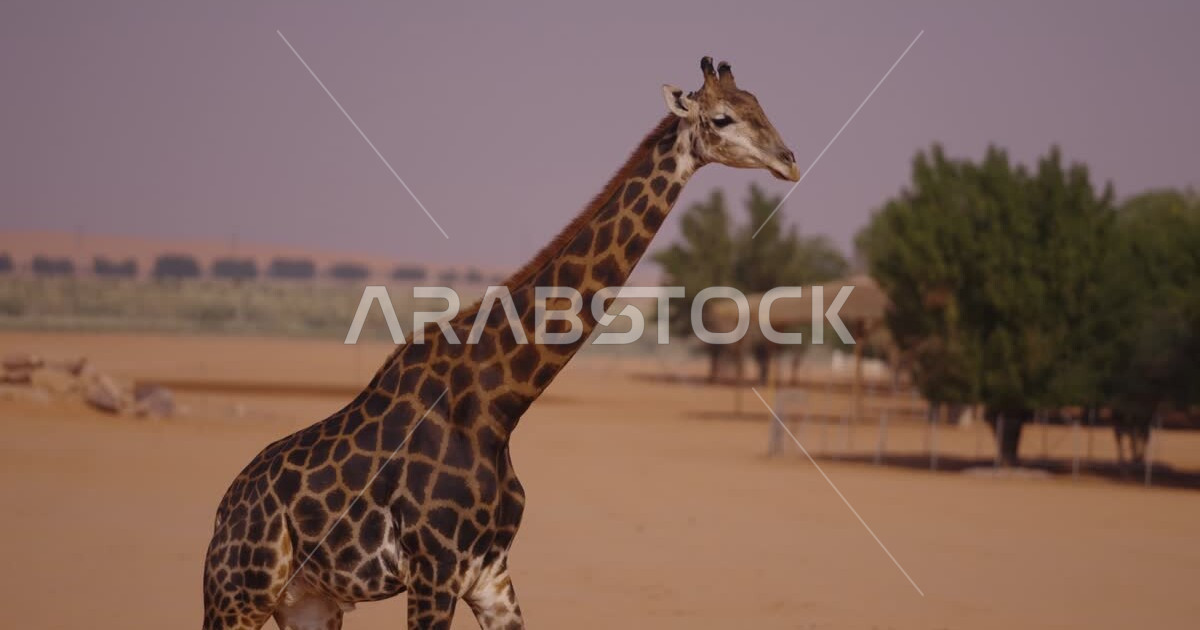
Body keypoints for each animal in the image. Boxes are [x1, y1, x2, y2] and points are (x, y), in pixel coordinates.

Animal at [202, 56, 800, 630]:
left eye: (760, 106)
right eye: (722, 118)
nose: (789, 160)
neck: (498, 405)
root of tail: (224, 510)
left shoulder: (490, 574)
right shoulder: (434, 569)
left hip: (309, 603)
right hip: (238, 596)